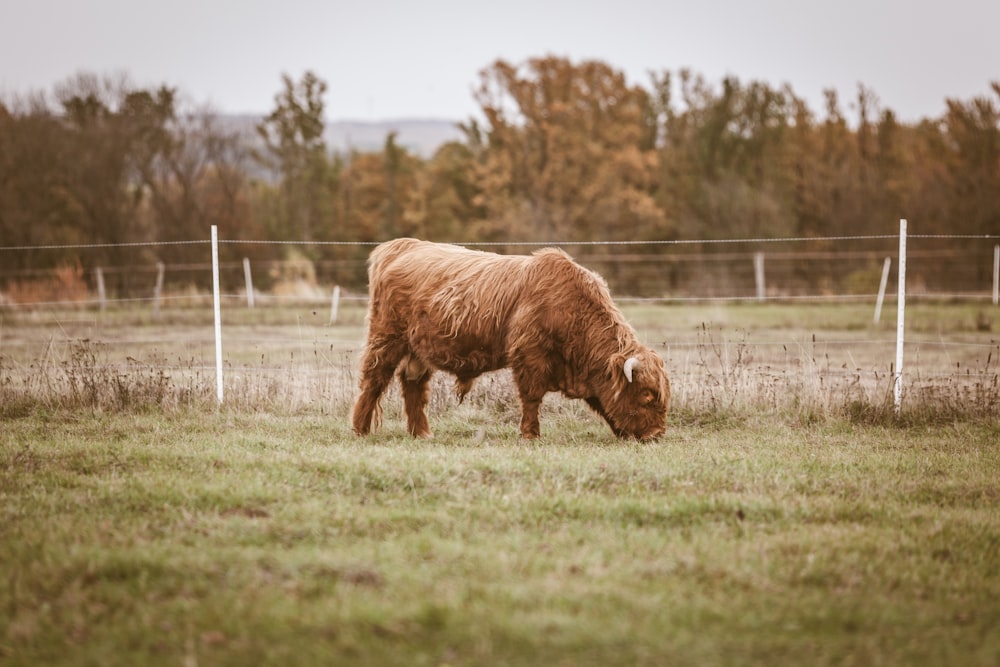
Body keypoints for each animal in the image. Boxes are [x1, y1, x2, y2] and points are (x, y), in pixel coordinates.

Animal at [352, 237, 672, 440]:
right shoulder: (530, 356)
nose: (656, 435)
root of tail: (403, 245)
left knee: (413, 385)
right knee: (373, 380)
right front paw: (530, 434)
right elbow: (531, 397)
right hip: (386, 336)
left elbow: (601, 402)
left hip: (418, 350)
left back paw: (421, 433)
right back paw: (359, 429)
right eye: (646, 394)